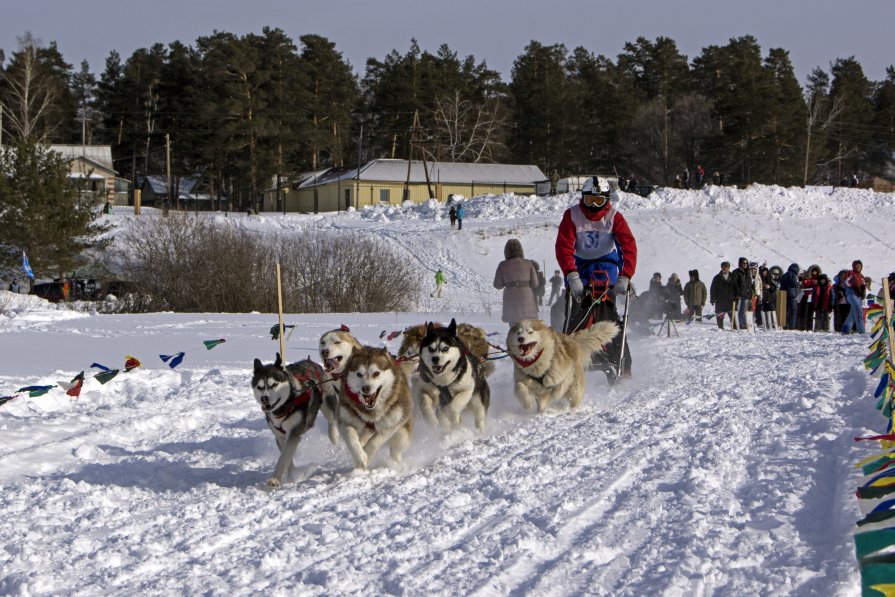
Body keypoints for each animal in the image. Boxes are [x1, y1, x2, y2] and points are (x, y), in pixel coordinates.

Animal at [250, 352, 324, 486]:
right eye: (259, 387)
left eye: (274, 384)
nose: (264, 398)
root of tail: (310, 361)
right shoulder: (280, 436)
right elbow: (287, 458)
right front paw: (291, 476)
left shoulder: (294, 433)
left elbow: (283, 458)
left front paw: (275, 479)